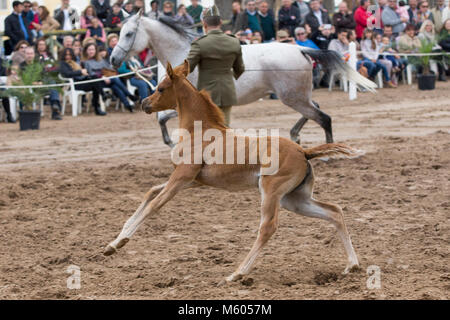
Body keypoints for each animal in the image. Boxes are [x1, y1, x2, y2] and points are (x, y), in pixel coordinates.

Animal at [103, 60, 360, 282]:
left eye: (161, 88)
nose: (144, 103)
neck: (199, 131)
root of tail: (303, 151)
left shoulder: (182, 177)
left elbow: (155, 205)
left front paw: (119, 243)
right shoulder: (191, 180)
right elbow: (151, 192)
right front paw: (113, 243)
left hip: (271, 192)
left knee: (268, 227)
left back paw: (237, 273)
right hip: (294, 199)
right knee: (334, 211)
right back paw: (352, 265)